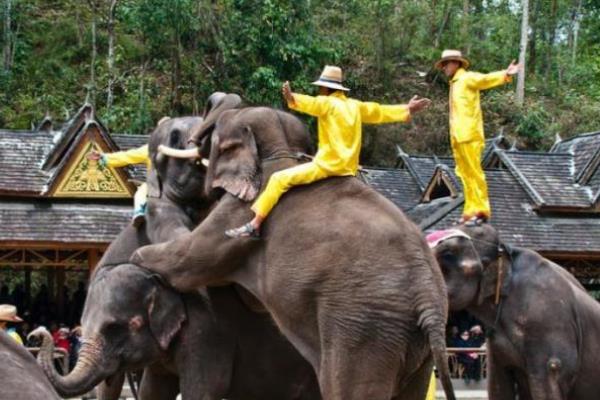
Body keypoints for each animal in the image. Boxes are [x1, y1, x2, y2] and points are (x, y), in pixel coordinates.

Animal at [134, 104, 458, 400]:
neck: (283, 150)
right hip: (415, 349)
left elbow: (187, 263)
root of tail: (429, 302)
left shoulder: (239, 213)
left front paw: (138, 257)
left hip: (364, 331)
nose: (176, 132)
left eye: (213, 135)